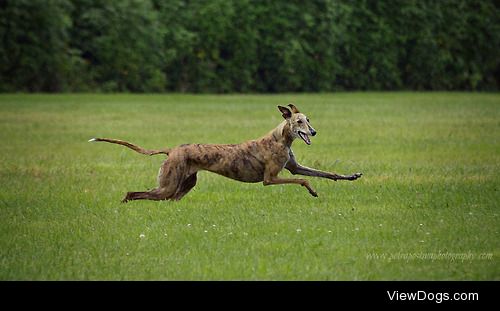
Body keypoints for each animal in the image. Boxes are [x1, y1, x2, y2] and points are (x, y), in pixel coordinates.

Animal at [90, 105, 362, 202]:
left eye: (309, 119)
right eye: (298, 122)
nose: (314, 132)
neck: (280, 138)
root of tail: (172, 149)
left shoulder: (293, 167)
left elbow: (326, 173)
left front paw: (352, 176)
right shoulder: (270, 179)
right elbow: (303, 180)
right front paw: (313, 192)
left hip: (182, 185)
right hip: (168, 185)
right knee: (133, 193)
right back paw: (124, 204)